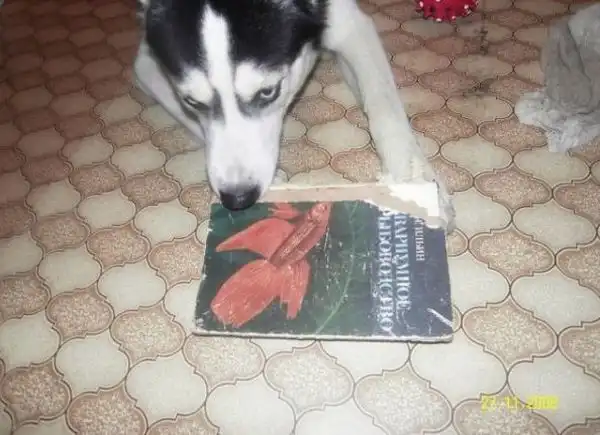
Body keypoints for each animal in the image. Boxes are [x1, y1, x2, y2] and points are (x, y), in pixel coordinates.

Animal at [133, 0, 455, 228]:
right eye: (191, 102)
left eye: (268, 92)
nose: (238, 197)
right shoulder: (147, 63)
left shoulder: (351, 25)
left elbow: (383, 103)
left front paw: (414, 179)